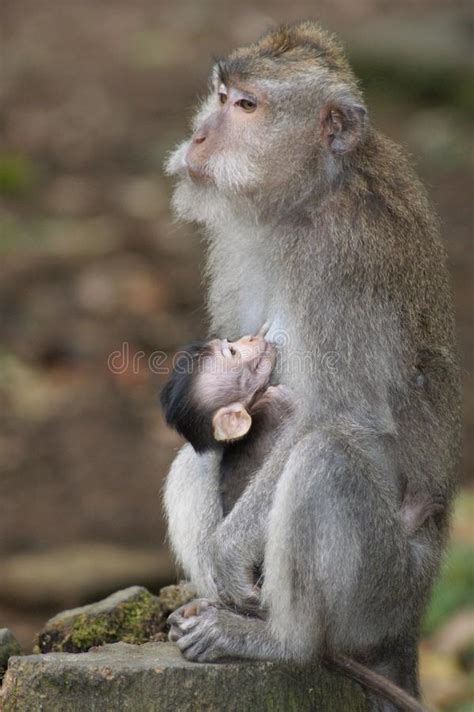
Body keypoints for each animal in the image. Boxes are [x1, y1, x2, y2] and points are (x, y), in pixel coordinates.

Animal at [162, 20, 460, 712]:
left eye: (248, 107)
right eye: (221, 95)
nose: (199, 136)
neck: (309, 195)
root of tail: (412, 623)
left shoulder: (340, 263)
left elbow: (342, 416)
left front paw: (225, 553)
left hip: (385, 591)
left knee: (326, 459)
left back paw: (279, 642)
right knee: (196, 453)